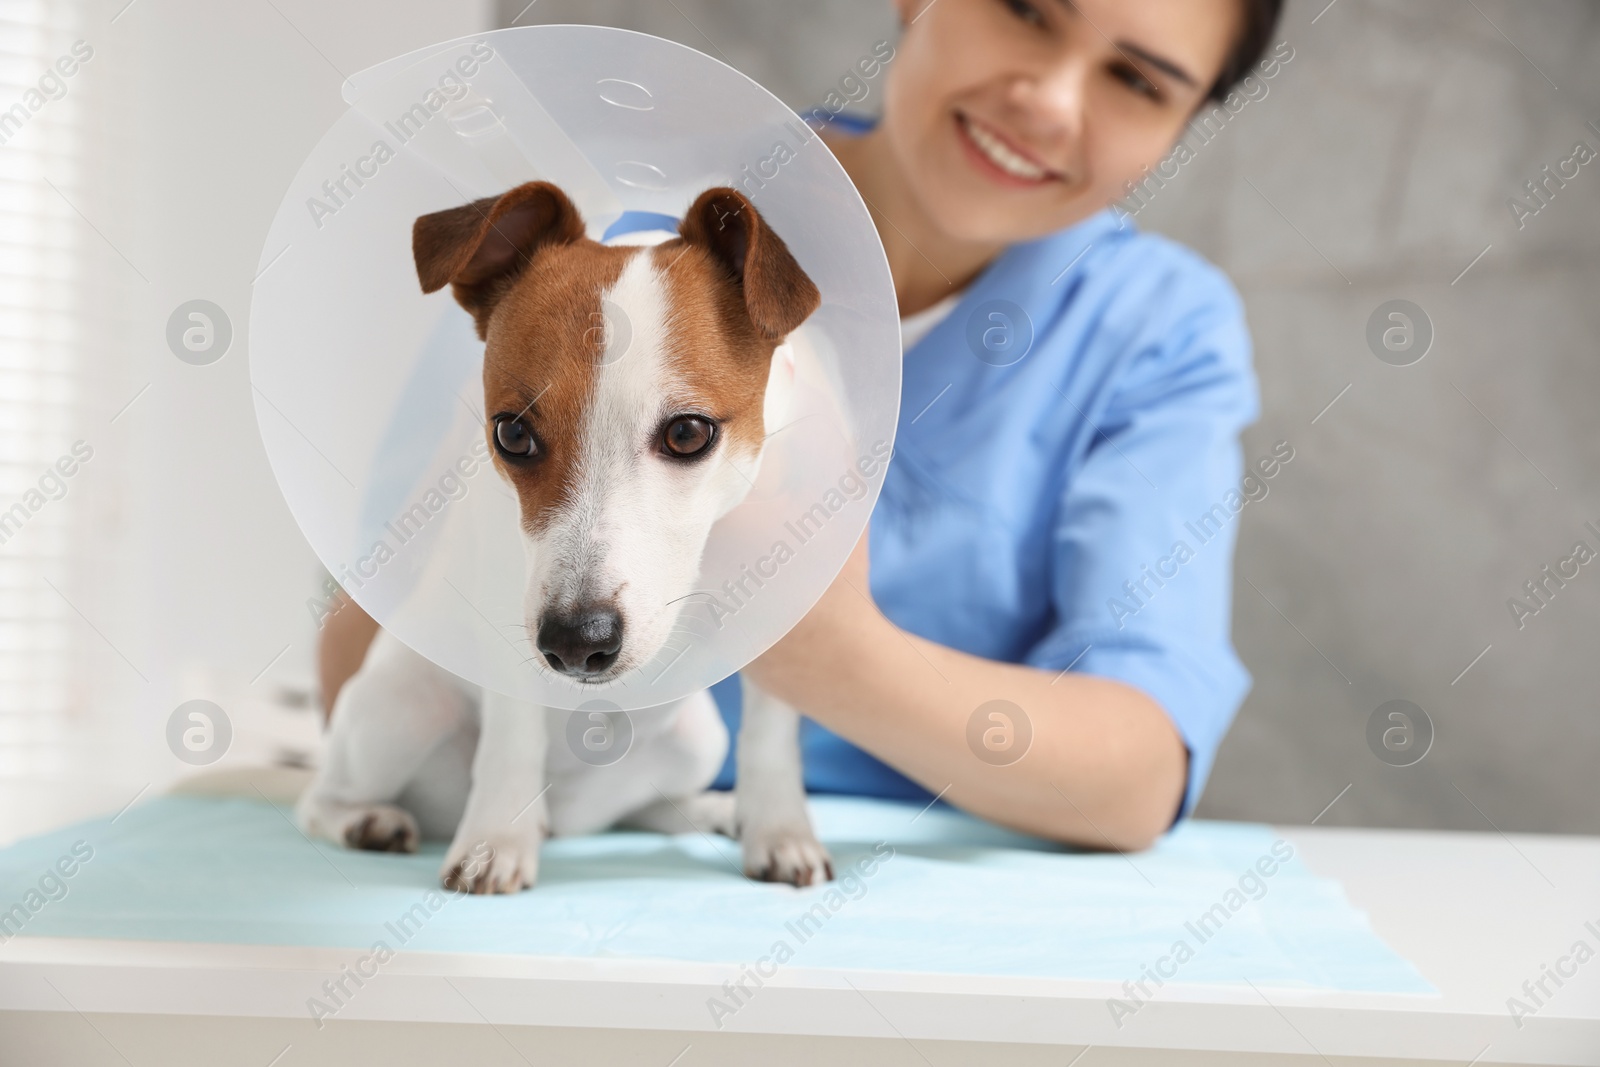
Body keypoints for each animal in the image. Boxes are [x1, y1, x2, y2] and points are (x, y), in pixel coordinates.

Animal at [297, 181, 838, 895]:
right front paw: (494, 842)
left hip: (696, 740)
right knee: (316, 801)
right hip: (402, 711)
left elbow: (771, 738)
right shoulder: (505, 626)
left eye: (688, 433)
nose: (578, 644)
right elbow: (512, 741)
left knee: (644, 808)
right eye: (512, 432)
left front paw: (779, 830)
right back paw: (371, 821)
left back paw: (715, 810)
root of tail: (569, 809)